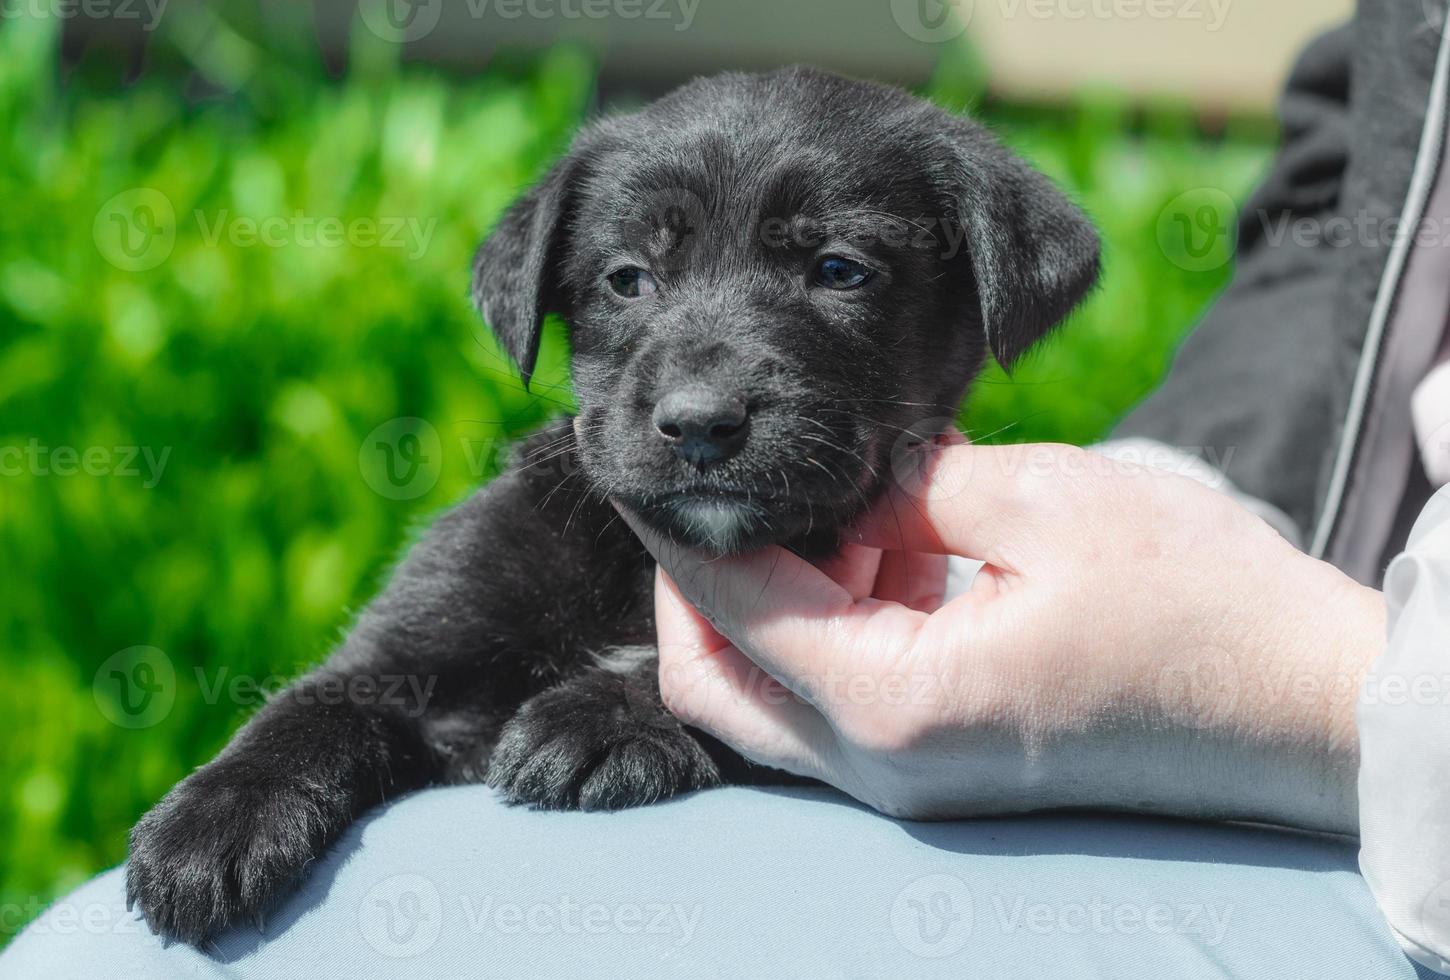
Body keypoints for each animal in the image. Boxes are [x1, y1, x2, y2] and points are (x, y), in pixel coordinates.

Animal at [127, 67, 1096, 939]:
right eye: (628, 279)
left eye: (839, 270)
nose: (700, 423)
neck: (643, 561)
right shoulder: (414, 642)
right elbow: (312, 707)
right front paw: (211, 824)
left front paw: (597, 717)